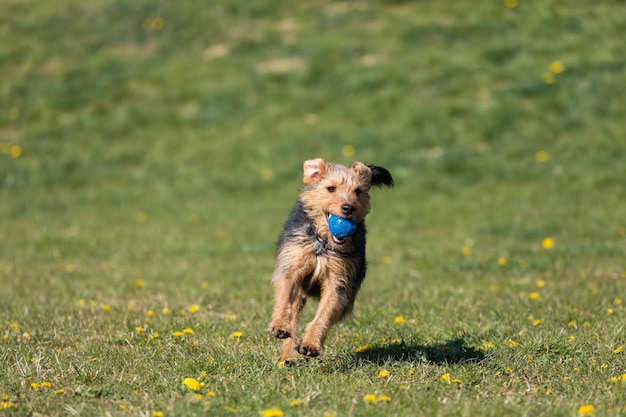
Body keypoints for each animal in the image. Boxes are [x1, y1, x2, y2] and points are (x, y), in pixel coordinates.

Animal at [266, 158, 390, 362]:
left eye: (357, 191)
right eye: (331, 188)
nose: (348, 208)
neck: (323, 242)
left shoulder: (338, 281)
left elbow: (325, 314)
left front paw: (311, 345)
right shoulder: (291, 266)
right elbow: (284, 298)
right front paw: (280, 326)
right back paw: (287, 356)